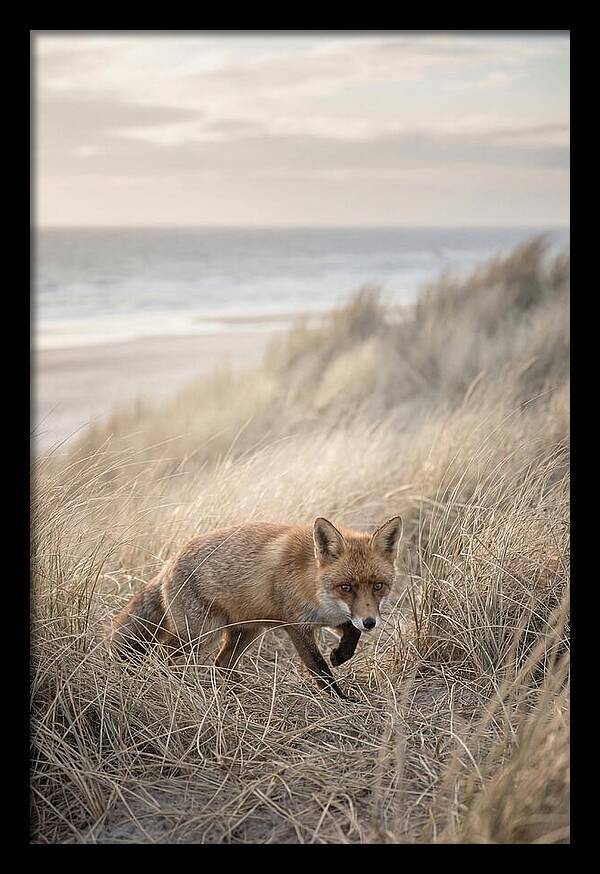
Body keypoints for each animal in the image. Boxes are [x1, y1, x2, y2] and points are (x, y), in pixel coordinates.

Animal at [108, 515, 402, 699]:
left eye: (378, 586)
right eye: (346, 587)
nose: (371, 622)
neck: (314, 584)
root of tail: (168, 562)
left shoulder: (334, 617)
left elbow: (352, 634)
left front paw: (340, 655)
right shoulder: (296, 625)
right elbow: (319, 669)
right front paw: (341, 700)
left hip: (247, 631)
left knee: (221, 663)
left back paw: (240, 691)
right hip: (200, 635)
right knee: (162, 655)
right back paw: (174, 684)